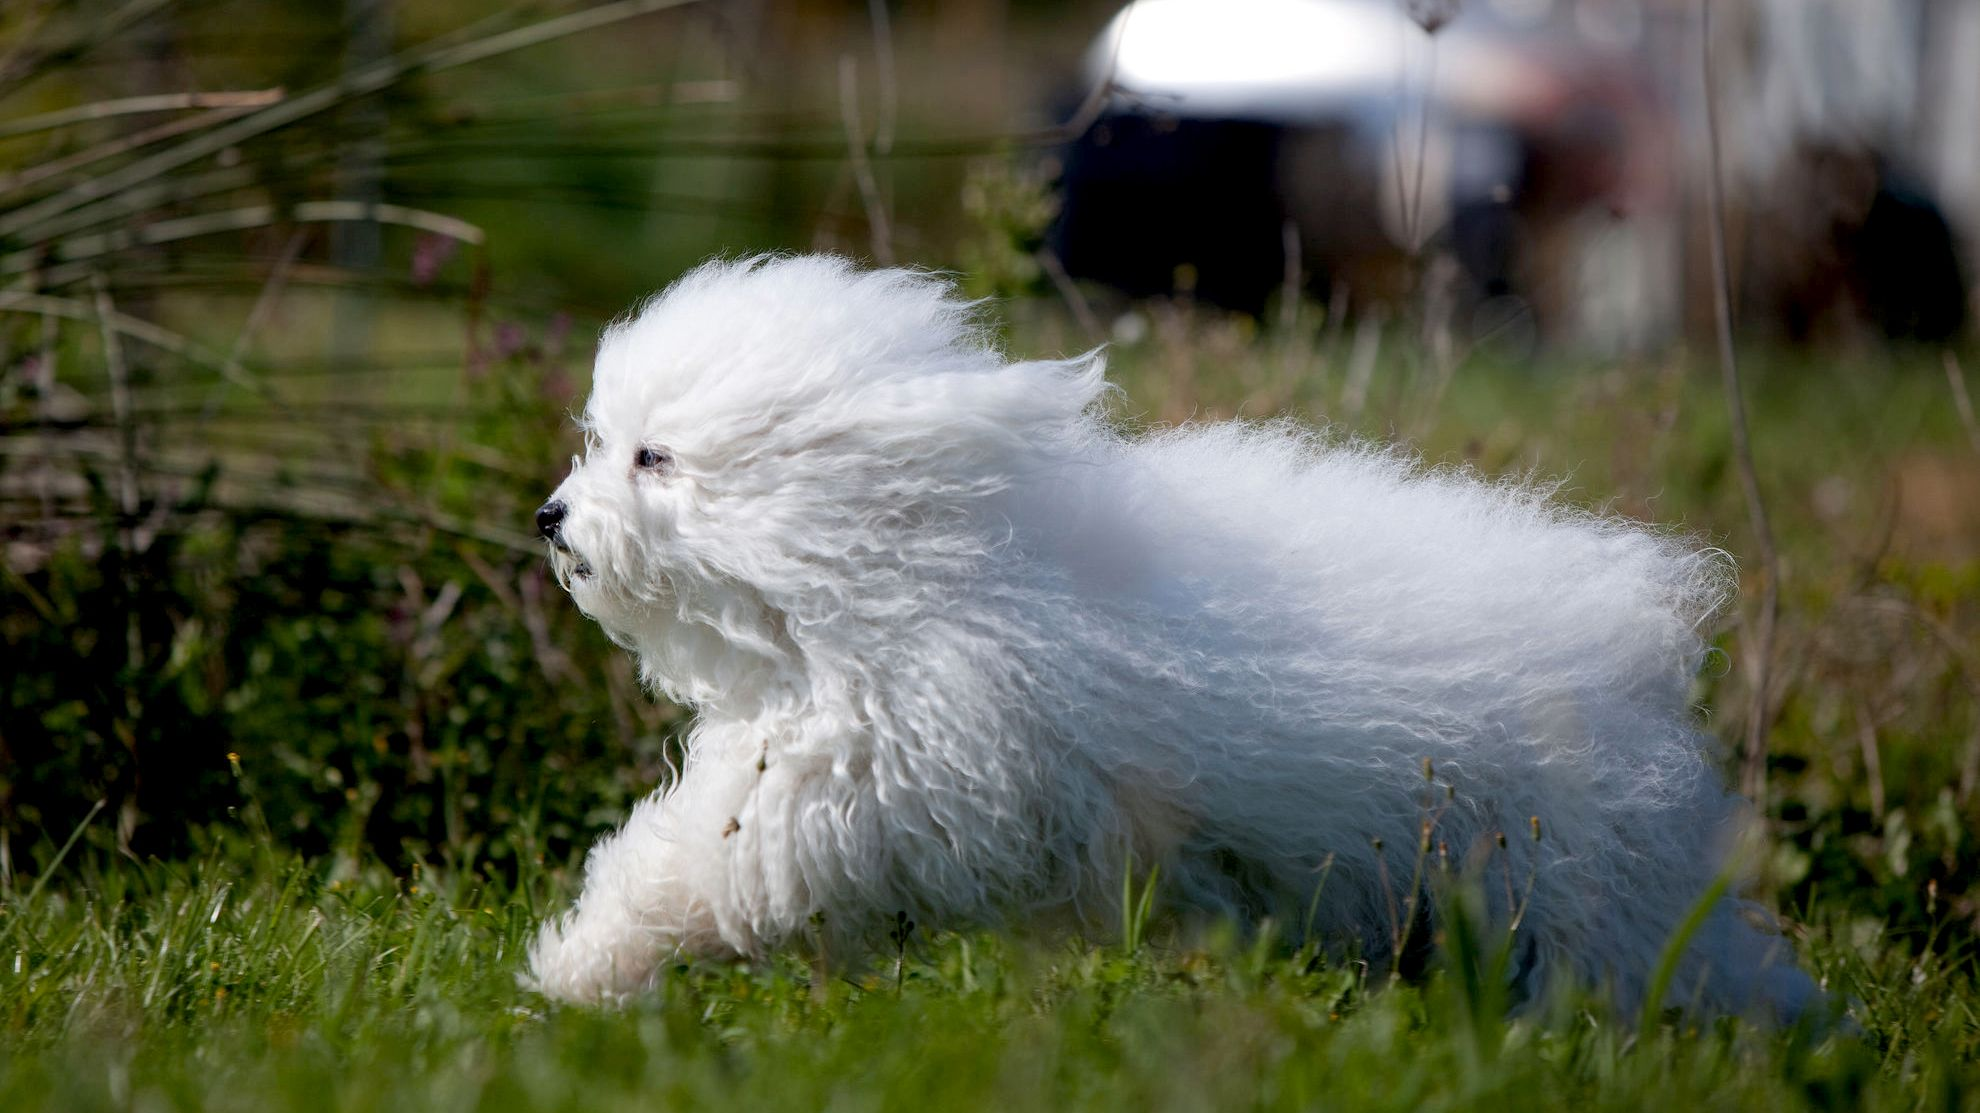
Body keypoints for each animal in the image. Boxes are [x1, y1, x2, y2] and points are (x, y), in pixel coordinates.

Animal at [522, 253, 1813, 1013]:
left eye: (654, 457)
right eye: (607, 440)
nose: (550, 519)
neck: (913, 566)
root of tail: (1638, 637)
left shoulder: (880, 765)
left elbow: (705, 866)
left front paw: (576, 970)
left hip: (1569, 876)